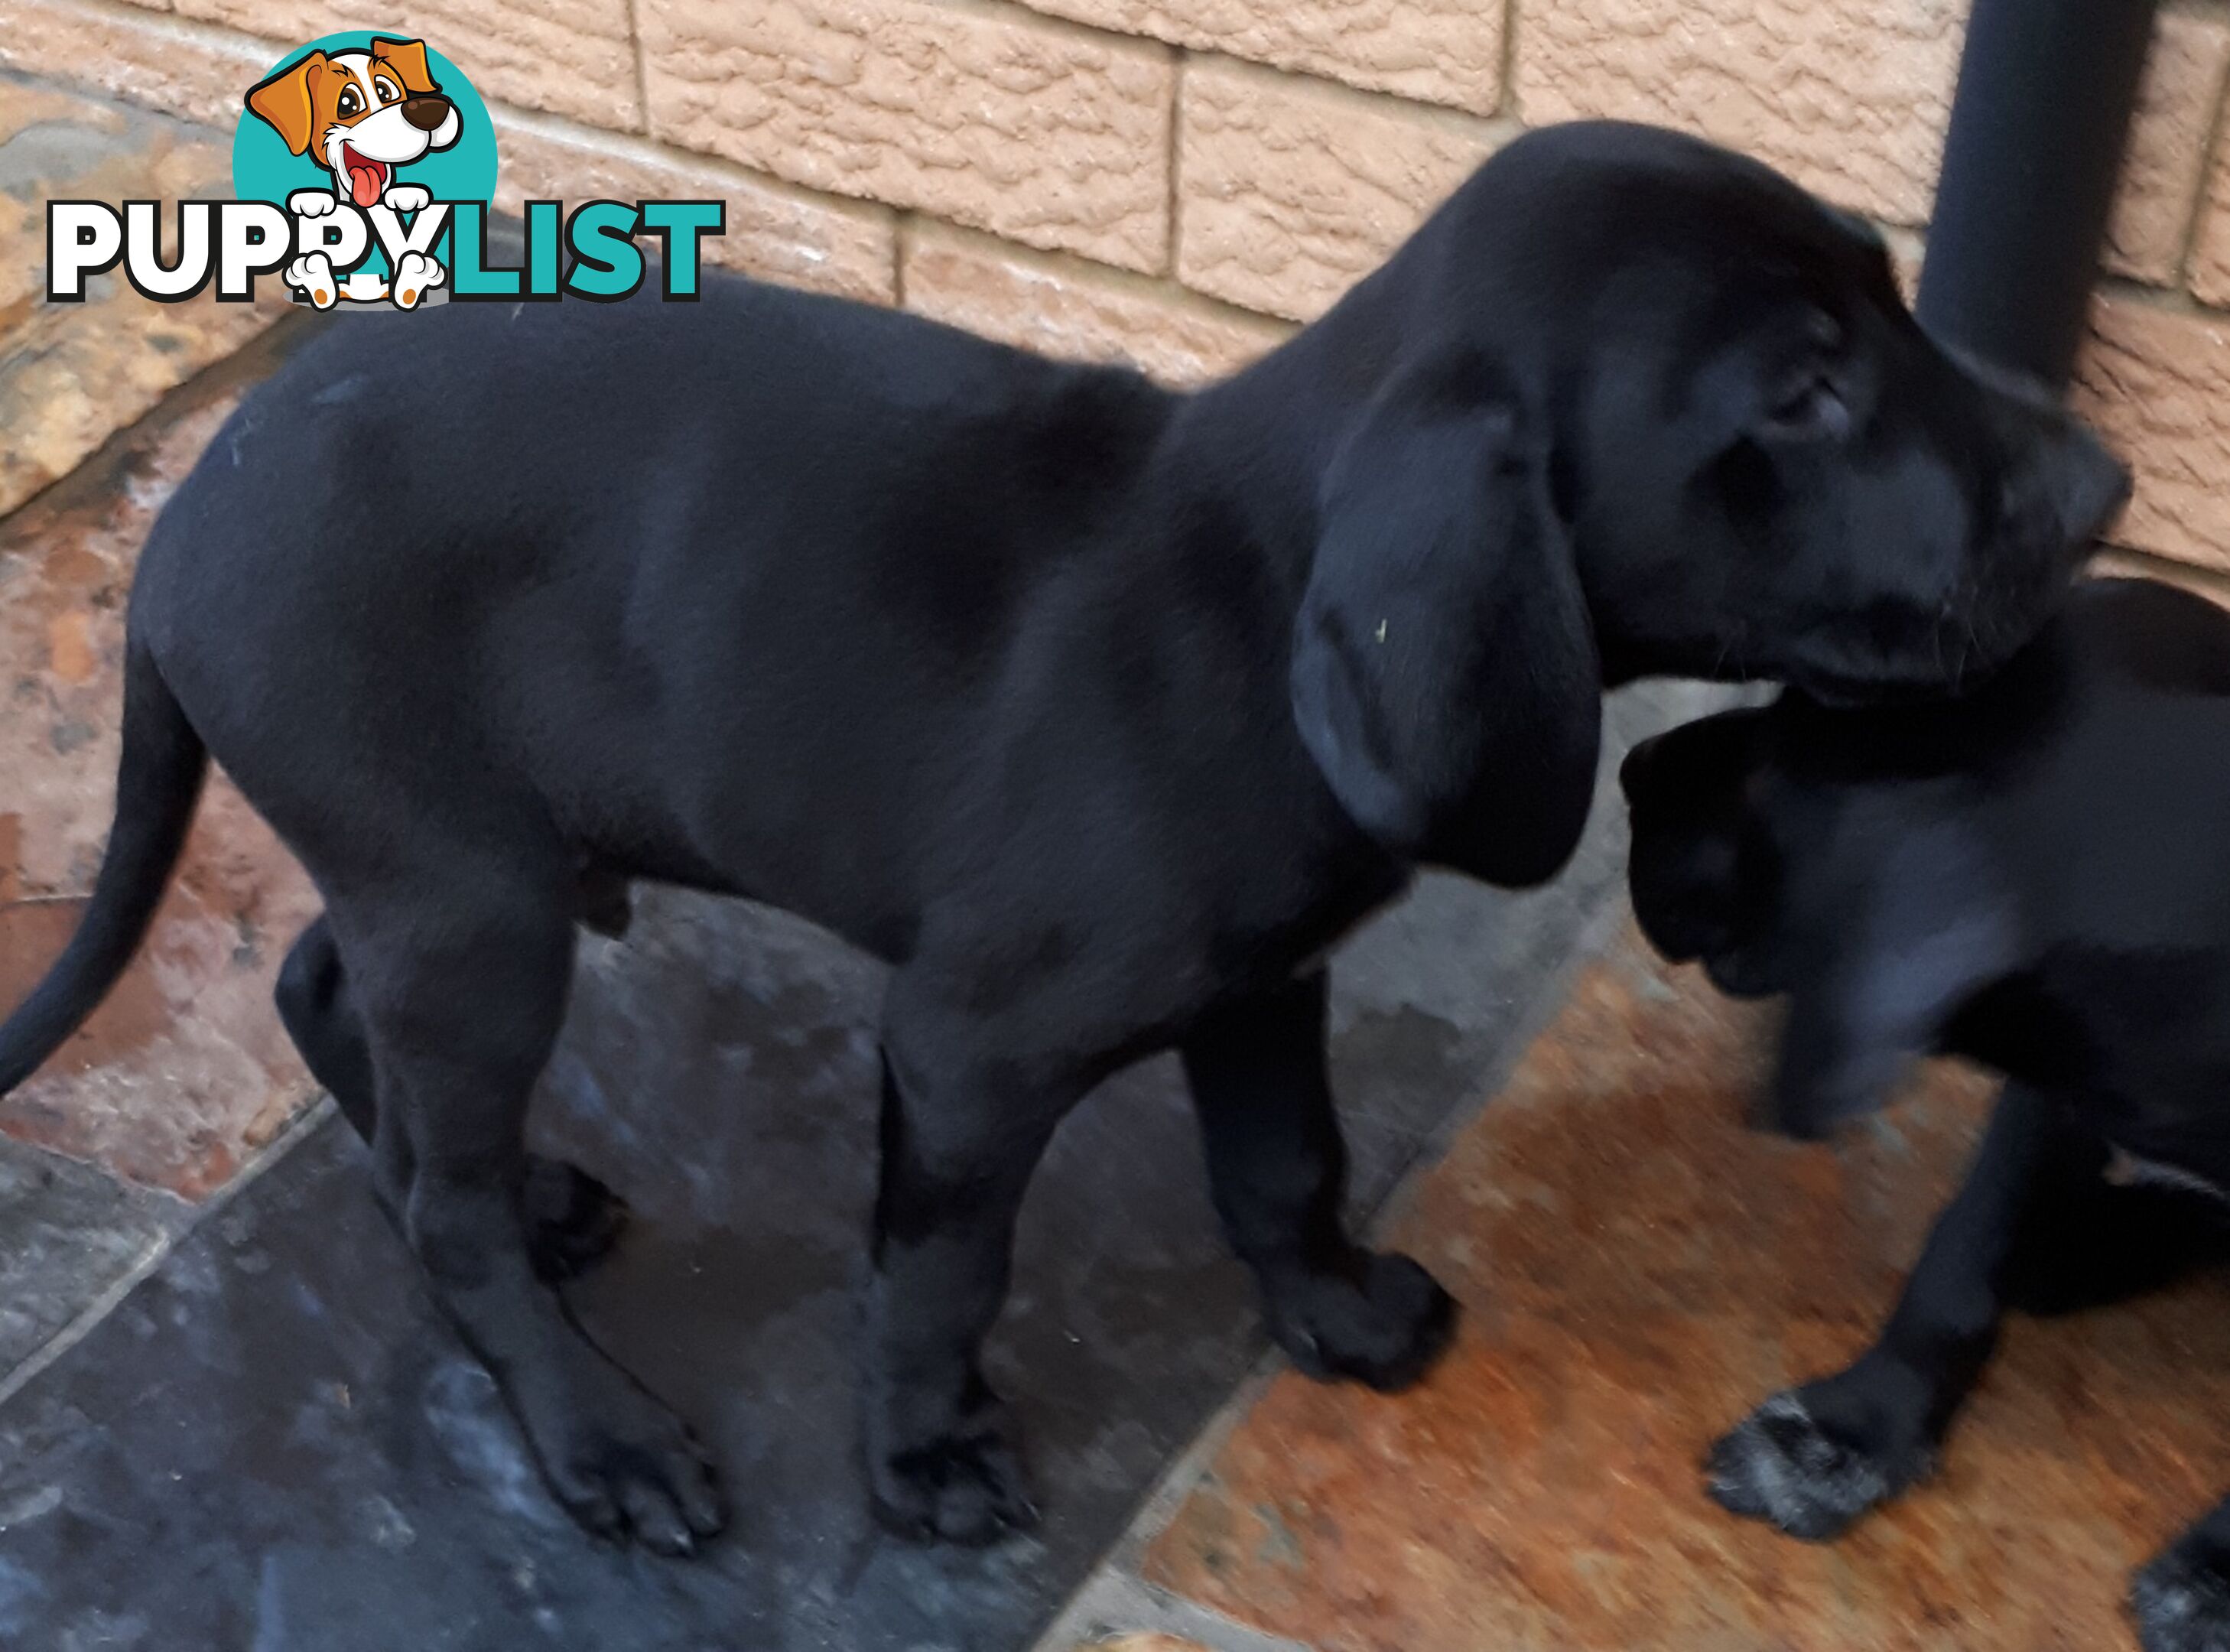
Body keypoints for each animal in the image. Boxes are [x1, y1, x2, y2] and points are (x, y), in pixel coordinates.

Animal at [1623, 575, 2230, 1641]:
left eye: (1784, 763)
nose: (1632, 761)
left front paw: (2218, 1576)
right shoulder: (2054, 1073)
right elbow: (1964, 1250)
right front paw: (1849, 1434)